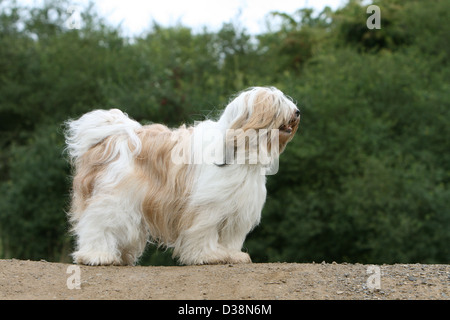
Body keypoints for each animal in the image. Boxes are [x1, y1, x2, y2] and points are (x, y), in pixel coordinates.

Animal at [65, 86, 300, 266]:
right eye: (277, 104)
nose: (297, 112)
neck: (239, 148)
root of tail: (112, 138)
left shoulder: (237, 210)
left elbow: (230, 238)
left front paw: (233, 256)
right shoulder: (207, 208)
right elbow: (204, 232)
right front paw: (208, 256)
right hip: (113, 198)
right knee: (98, 224)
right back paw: (97, 256)